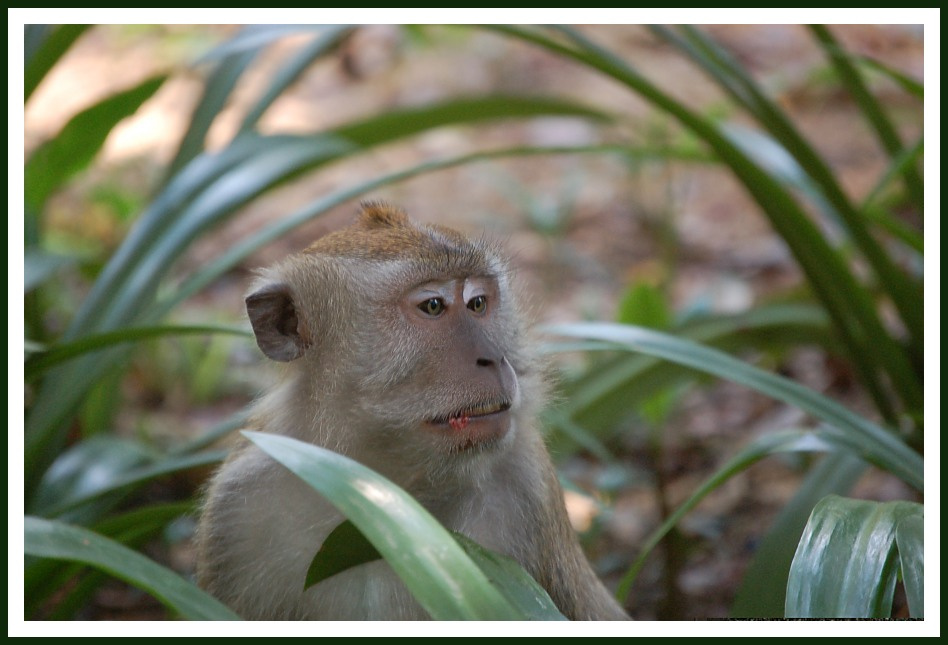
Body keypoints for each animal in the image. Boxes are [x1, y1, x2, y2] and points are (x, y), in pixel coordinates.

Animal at [195, 202, 630, 621]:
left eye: (477, 303)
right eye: (433, 306)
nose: (493, 357)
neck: (378, 500)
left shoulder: (528, 486)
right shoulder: (237, 507)